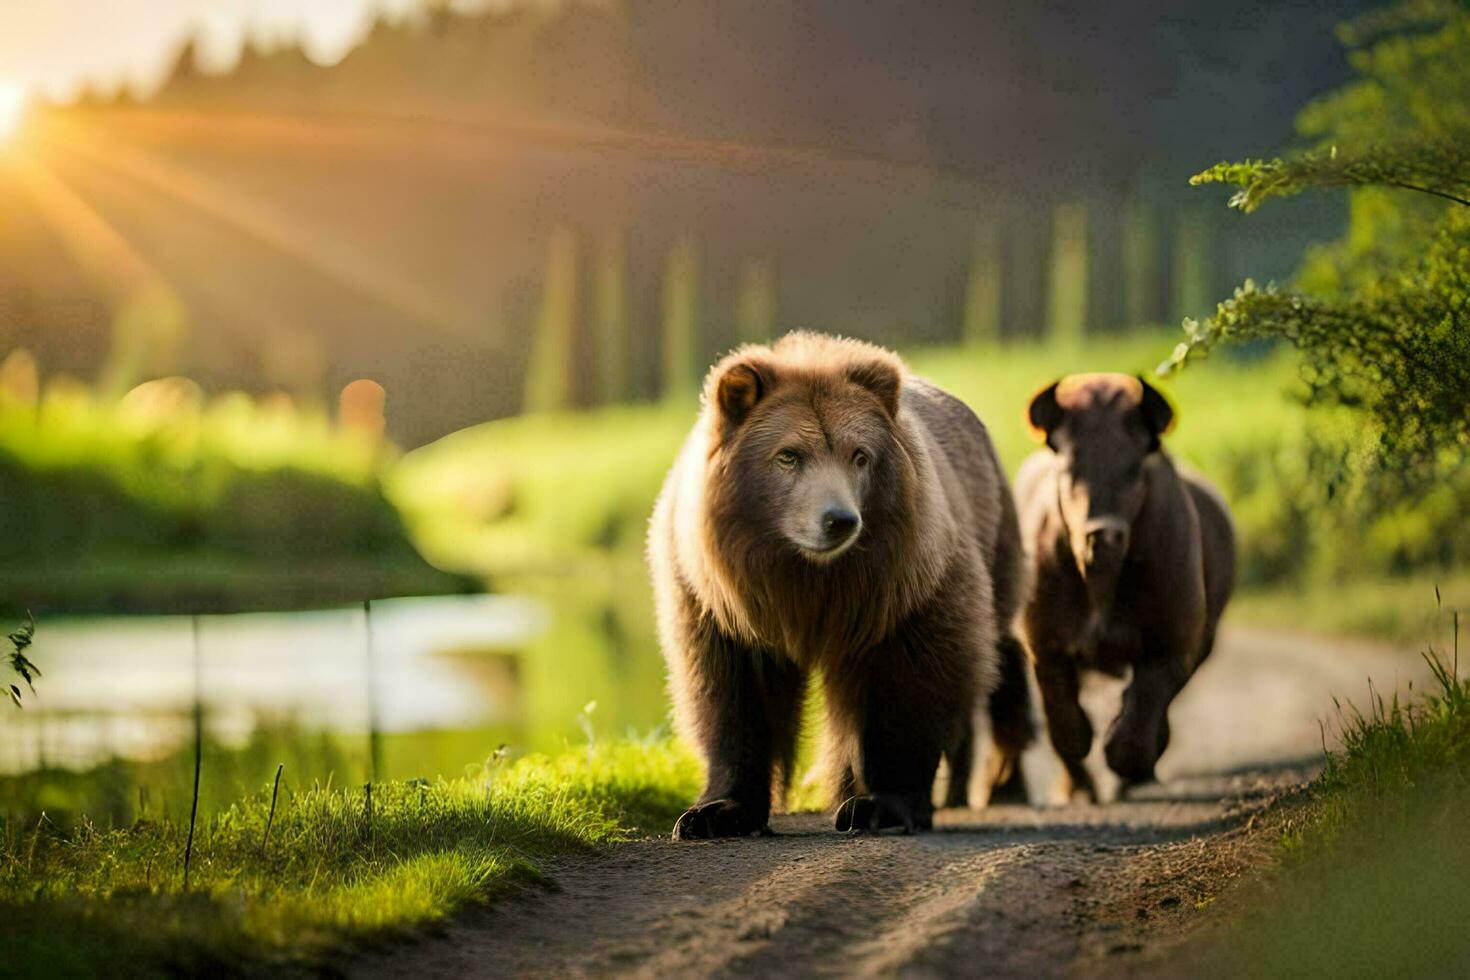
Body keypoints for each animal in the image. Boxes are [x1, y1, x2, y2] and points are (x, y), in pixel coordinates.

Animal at [643, 333, 1034, 840]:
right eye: (788, 455)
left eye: (859, 455)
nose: (839, 519)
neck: (807, 577)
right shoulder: (719, 600)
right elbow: (729, 691)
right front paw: (716, 812)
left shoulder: (906, 586)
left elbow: (915, 680)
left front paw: (882, 805)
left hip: (994, 531)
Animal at [1017, 371, 1234, 799]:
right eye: (1069, 468)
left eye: (1135, 467)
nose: (1103, 534)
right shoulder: (1044, 644)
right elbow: (1065, 728)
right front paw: (1078, 785)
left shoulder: (1173, 643)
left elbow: (1140, 716)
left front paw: (1127, 761)